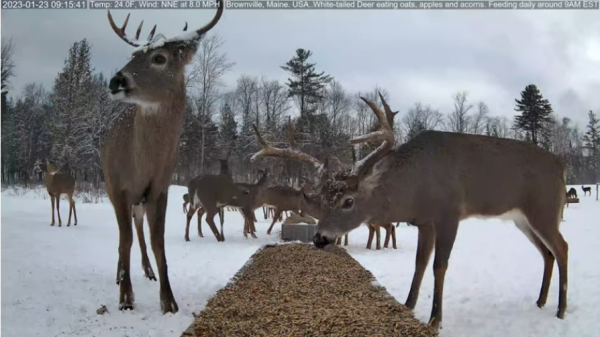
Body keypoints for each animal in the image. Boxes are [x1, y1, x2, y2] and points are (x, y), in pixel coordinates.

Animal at [101, 2, 225, 312]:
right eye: (133, 55)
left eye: (159, 58)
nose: (115, 80)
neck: (141, 167)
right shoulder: (118, 188)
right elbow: (125, 239)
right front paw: (126, 297)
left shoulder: (160, 188)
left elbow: (157, 241)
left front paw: (168, 301)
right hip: (113, 188)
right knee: (127, 234)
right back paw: (121, 275)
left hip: (141, 200)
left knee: (139, 229)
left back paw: (147, 271)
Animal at [308, 92, 568, 328]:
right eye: (323, 199)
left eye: (348, 201)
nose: (319, 238)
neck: (415, 186)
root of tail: (560, 166)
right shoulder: (424, 221)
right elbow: (420, 262)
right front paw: (408, 305)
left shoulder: (449, 213)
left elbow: (439, 265)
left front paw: (435, 319)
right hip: (521, 219)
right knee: (547, 253)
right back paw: (540, 301)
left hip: (544, 208)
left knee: (562, 247)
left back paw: (561, 310)